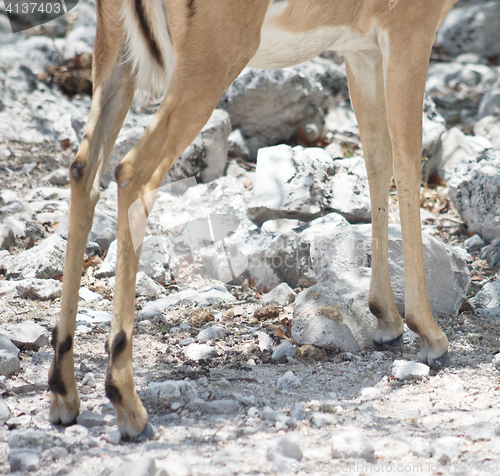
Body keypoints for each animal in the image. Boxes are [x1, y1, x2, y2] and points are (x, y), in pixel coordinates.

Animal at [48, 0, 458, 438]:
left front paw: (386, 319)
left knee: (82, 169)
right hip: (205, 70)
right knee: (130, 173)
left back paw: (64, 396)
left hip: (116, 60)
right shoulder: (410, 33)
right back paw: (128, 405)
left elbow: (377, 159)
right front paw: (429, 334)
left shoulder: (361, 50)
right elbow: (408, 163)